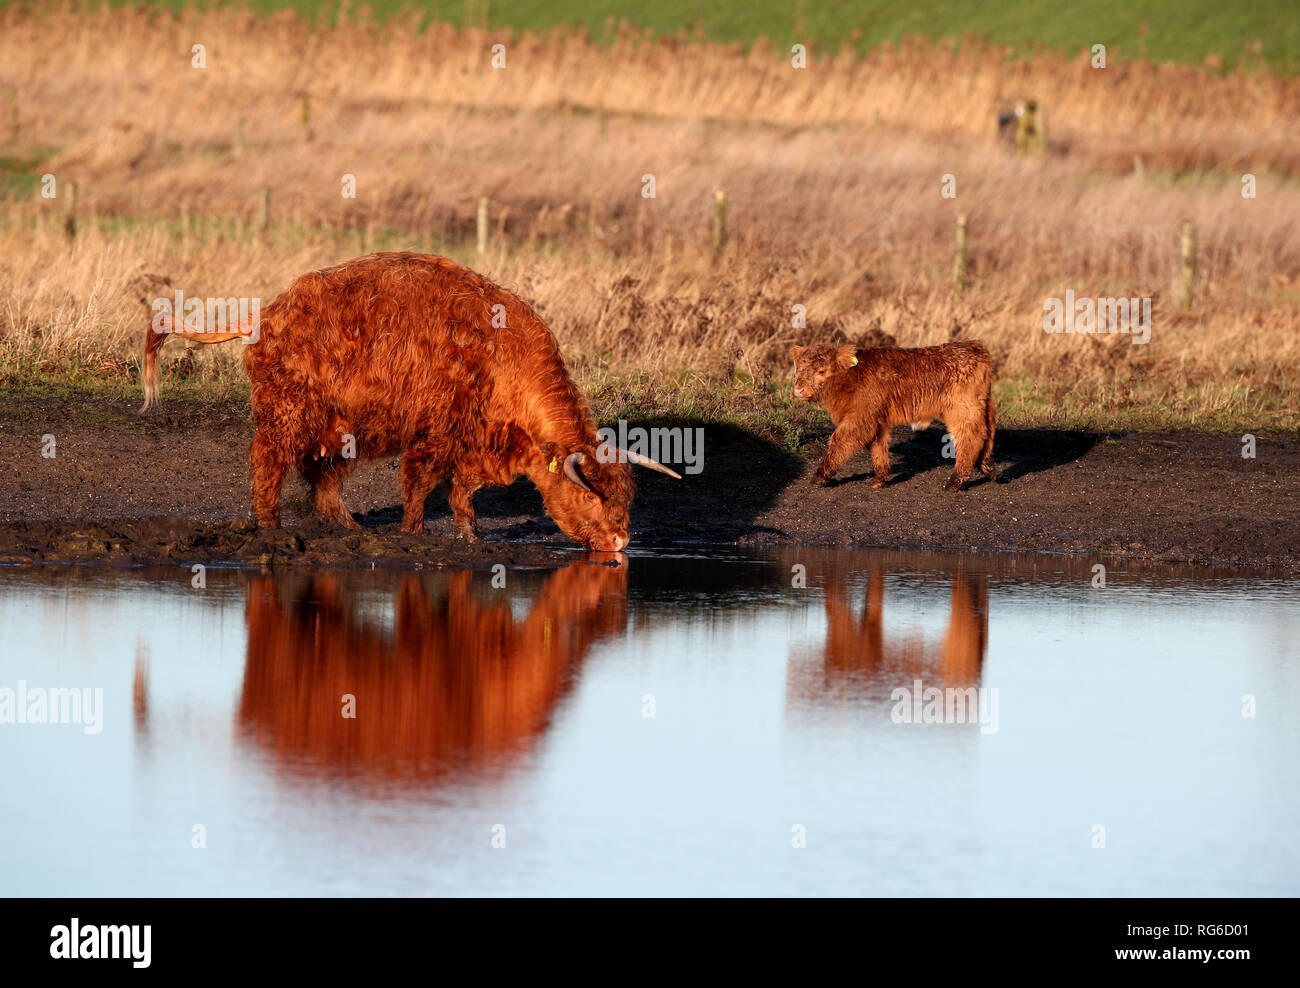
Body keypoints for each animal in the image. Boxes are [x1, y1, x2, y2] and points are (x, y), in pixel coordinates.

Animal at [142, 250, 681, 551]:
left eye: (625, 501)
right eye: (591, 499)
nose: (621, 540)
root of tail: (269, 310)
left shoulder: (473, 438)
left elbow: (462, 490)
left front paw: (470, 534)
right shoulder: (437, 428)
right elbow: (421, 482)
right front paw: (414, 532)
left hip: (340, 424)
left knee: (323, 478)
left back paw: (350, 528)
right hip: (289, 410)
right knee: (268, 462)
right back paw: (270, 525)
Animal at [790, 340, 993, 491]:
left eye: (821, 370)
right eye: (798, 370)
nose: (798, 390)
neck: (851, 378)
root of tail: (975, 347)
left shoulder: (860, 418)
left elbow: (840, 440)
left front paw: (820, 476)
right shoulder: (875, 420)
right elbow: (878, 446)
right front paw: (880, 479)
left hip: (962, 410)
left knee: (970, 438)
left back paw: (954, 483)